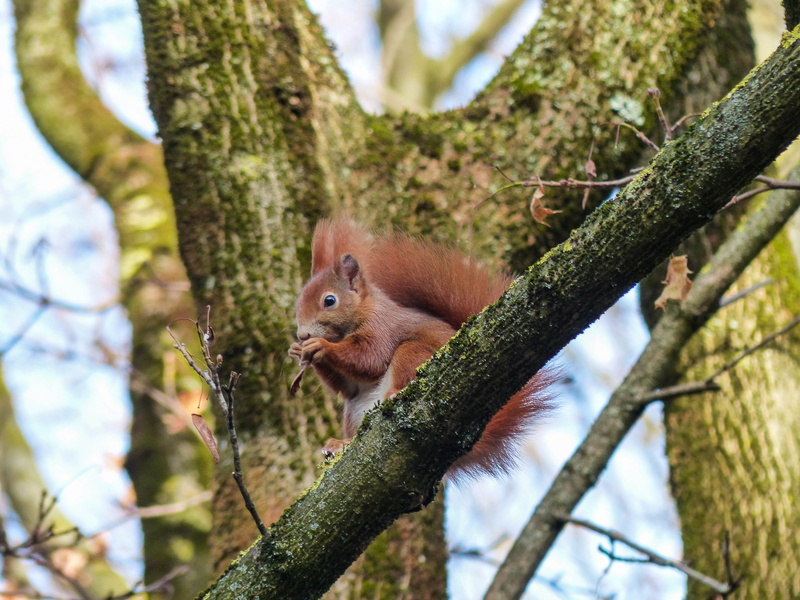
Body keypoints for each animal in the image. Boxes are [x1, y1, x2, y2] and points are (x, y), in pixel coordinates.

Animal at [289, 218, 552, 480]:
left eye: (329, 301)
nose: (303, 334)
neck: (363, 311)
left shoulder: (382, 328)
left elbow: (370, 359)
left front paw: (321, 346)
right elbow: (346, 386)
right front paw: (298, 349)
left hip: (413, 353)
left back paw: (393, 393)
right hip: (354, 410)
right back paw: (341, 444)